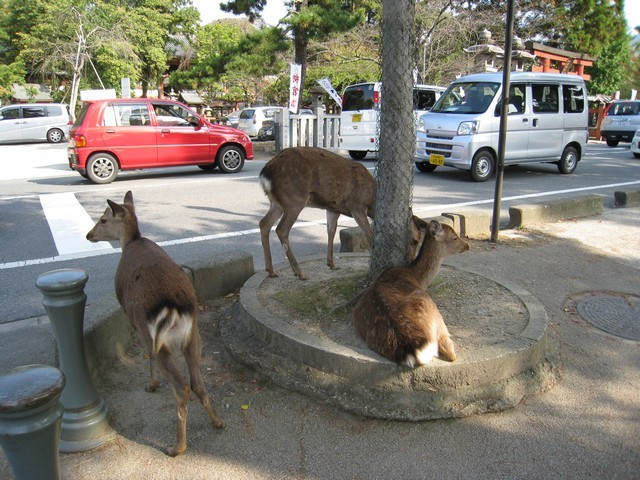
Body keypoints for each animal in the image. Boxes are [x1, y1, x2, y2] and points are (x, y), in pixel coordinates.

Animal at [85, 191, 225, 458]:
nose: (89, 235)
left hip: (158, 340)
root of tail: (173, 309)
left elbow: (145, 354)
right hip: (194, 335)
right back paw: (218, 422)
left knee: (181, 387)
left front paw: (151, 384)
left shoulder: (133, 319)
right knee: (197, 383)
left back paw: (177, 447)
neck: (132, 242)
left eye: (103, 219)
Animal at [352, 221, 468, 368]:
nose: (467, 245)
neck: (417, 276)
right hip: (436, 316)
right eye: (454, 237)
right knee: (449, 350)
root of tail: (412, 348)